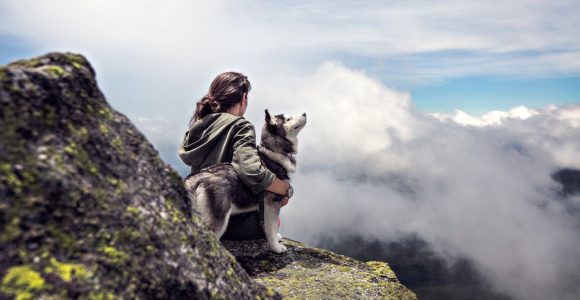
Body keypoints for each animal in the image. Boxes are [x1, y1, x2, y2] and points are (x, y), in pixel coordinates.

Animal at [185, 109, 308, 252]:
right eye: (288, 119)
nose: (305, 113)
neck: (273, 152)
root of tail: (195, 178)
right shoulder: (272, 202)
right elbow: (271, 226)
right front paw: (276, 247)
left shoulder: (264, 207)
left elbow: (268, 226)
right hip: (218, 219)